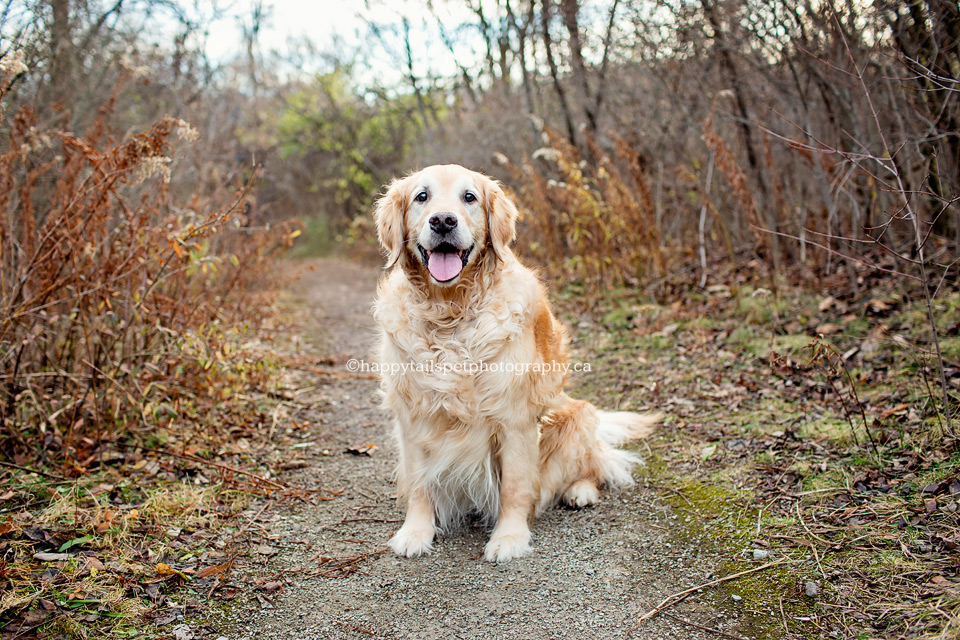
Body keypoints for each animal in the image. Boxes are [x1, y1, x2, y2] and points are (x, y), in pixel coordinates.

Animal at [372, 164, 656, 560]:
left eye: (469, 197)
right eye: (421, 197)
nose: (442, 221)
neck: (450, 310)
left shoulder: (515, 417)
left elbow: (515, 486)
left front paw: (508, 538)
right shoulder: (412, 416)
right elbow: (417, 483)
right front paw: (415, 533)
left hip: (579, 417)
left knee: (595, 466)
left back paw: (580, 491)